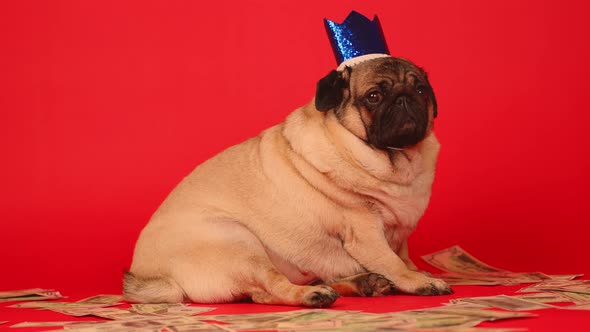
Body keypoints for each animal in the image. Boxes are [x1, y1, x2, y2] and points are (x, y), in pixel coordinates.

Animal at [125, 55, 454, 308]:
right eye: (374, 96)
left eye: (421, 90)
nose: (404, 97)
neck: (399, 162)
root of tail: (152, 276)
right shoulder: (366, 235)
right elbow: (393, 262)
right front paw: (420, 281)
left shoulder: (400, 233)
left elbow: (403, 256)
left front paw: (419, 273)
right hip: (239, 241)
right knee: (272, 287)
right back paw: (314, 295)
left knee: (262, 294)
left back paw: (361, 284)